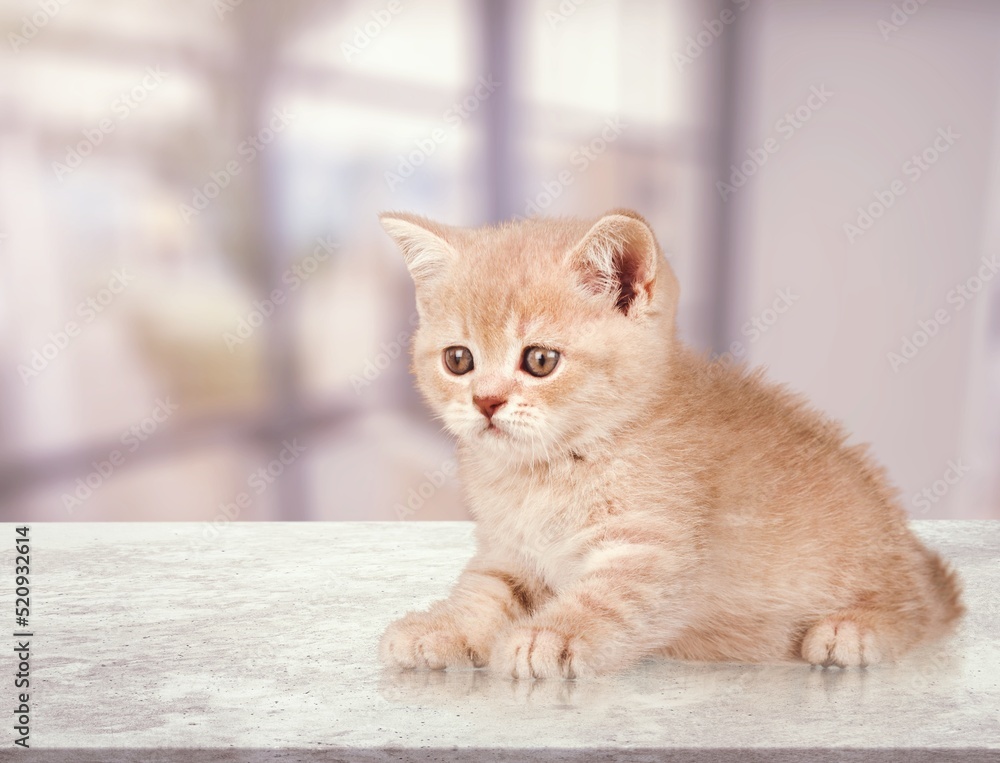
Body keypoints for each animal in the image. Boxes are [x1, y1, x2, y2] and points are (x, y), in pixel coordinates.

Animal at [376, 210, 960, 680]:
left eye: (540, 360)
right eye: (458, 360)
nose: (486, 402)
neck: (550, 471)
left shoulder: (651, 549)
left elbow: (605, 599)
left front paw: (549, 636)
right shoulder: (507, 551)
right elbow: (483, 592)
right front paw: (441, 628)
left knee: (920, 611)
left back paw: (852, 630)